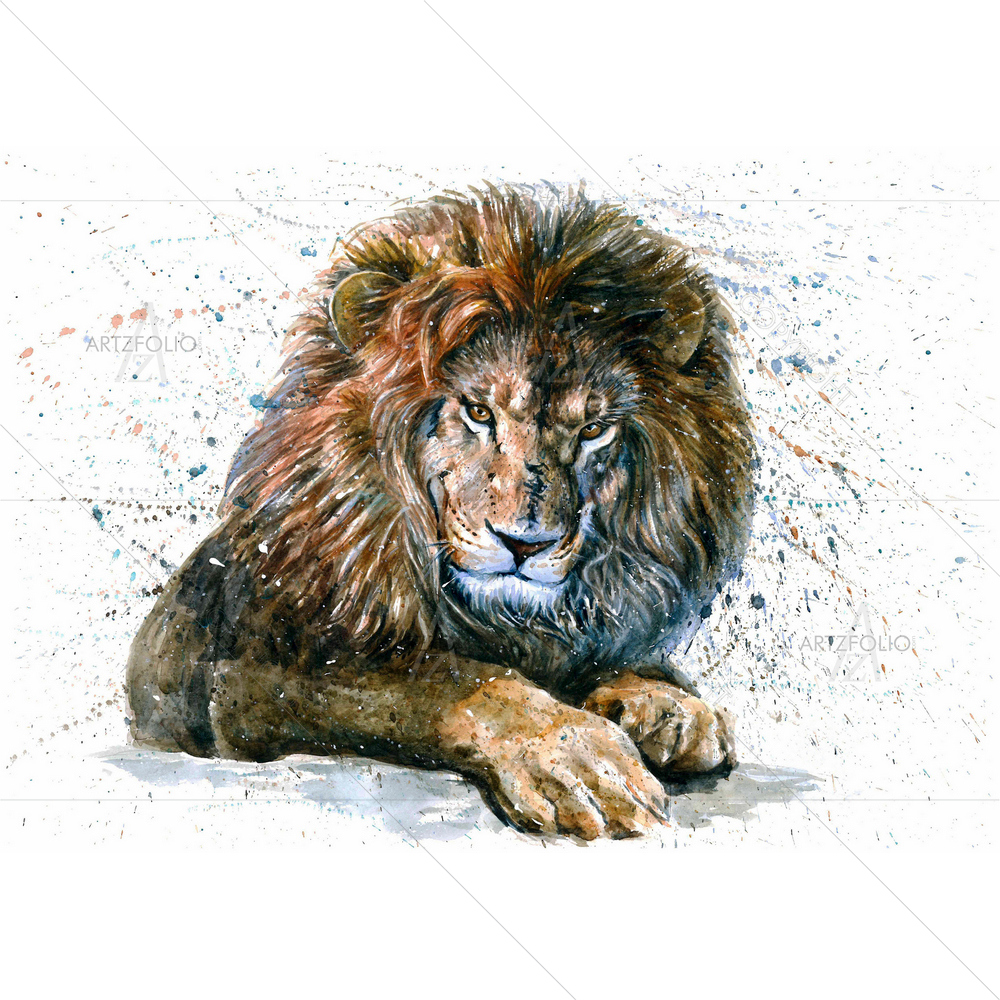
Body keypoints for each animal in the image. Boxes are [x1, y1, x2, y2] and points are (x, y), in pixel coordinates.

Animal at [126, 184, 756, 839]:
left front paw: (669, 705)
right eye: (477, 411)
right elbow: (459, 681)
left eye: (593, 430)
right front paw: (578, 756)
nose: (524, 544)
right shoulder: (238, 671)